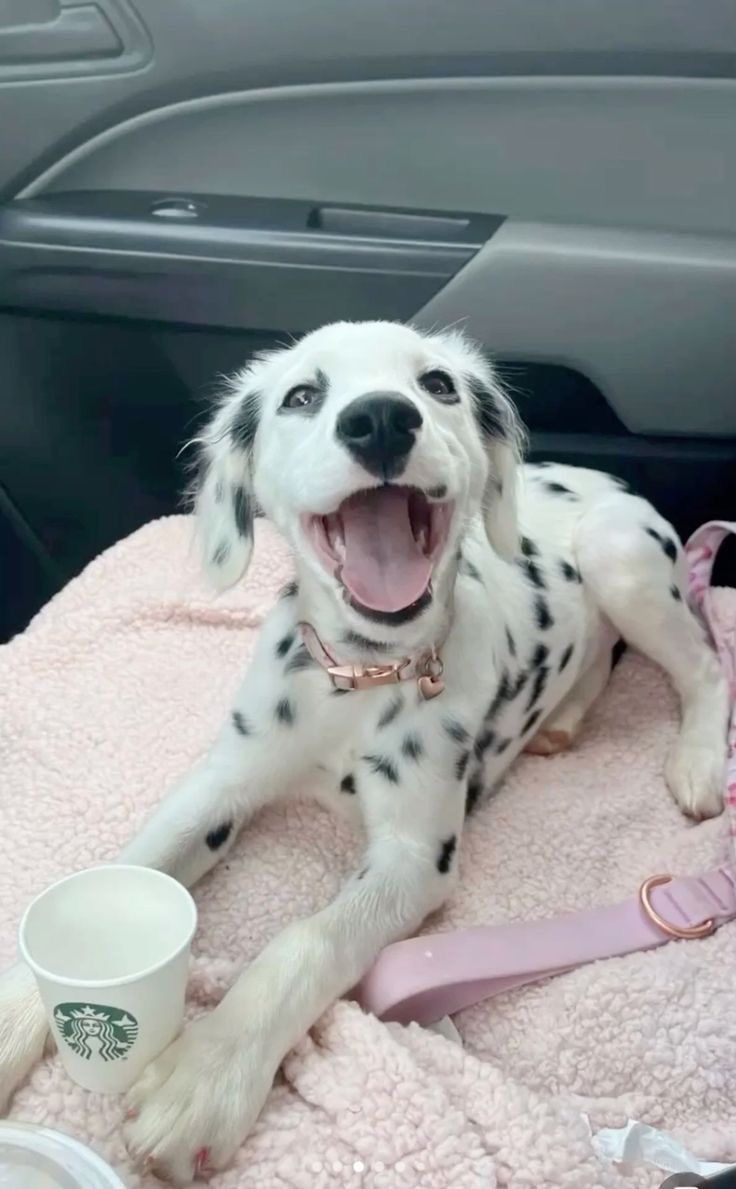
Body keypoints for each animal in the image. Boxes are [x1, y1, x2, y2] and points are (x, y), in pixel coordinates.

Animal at [0, 320, 729, 1182]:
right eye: (301, 396)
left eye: (439, 385)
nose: (380, 419)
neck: (359, 677)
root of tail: (605, 477)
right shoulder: (221, 783)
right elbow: (131, 862)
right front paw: (18, 1010)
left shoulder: (414, 859)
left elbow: (308, 939)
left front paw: (208, 1072)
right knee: (605, 652)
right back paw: (566, 715)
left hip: (621, 554)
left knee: (703, 662)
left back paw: (697, 761)